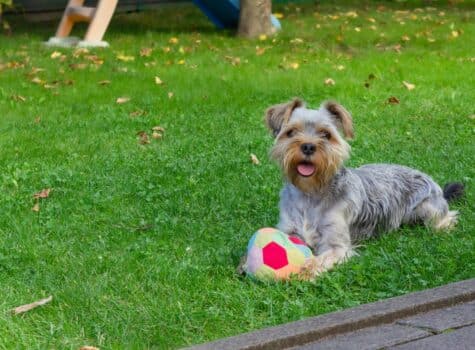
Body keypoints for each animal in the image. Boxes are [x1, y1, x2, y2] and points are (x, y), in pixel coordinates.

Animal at [264, 98, 464, 278]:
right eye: (291, 132)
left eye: (326, 135)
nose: (307, 146)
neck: (310, 193)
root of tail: (435, 184)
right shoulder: (287, 230)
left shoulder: (337, 246)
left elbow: (320, 259)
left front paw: (305, 270)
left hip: (428, 208)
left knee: (446, 218)